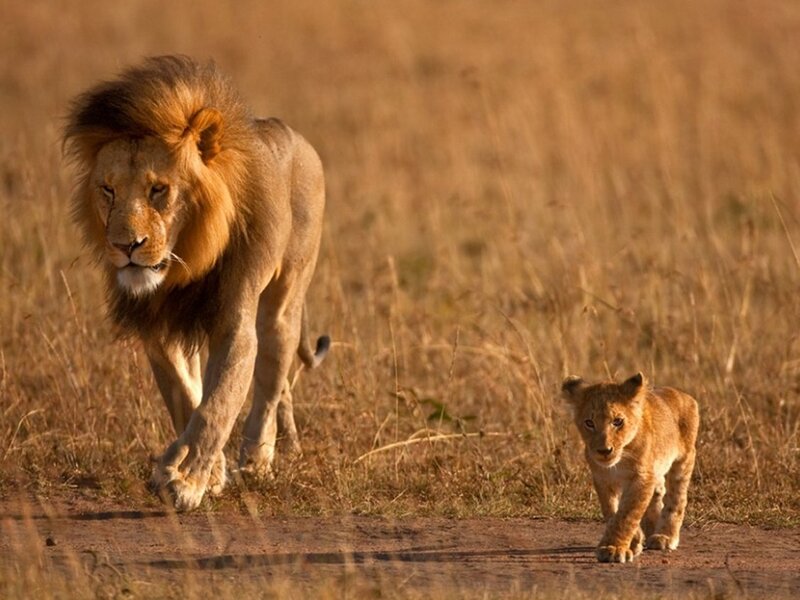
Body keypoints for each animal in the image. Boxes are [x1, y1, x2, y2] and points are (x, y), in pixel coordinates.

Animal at [63, 55, 330, 511]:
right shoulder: (158, 327)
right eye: (107, 190)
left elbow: (215, 407)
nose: (125, 246)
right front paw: (206, 473)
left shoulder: (234, 323)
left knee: (270, 383)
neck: (182, 262)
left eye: (158, 190)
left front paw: (186, 482)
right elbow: (187, 398)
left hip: (283, 301)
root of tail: (296, 137)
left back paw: (257, 462)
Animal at [561, 372, 699, 563]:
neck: (619, 461)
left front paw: (613, 548)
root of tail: (682, 394)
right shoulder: (602, 479)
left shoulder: (641, 477)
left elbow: (627, 513)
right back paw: (651, 530)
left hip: (684, 459)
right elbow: (612, 512)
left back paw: (665, 536)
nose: (604, 451)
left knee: (677, 498)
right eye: (589, 423)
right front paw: (633, 541)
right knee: (658, 493)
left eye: (618, 421)